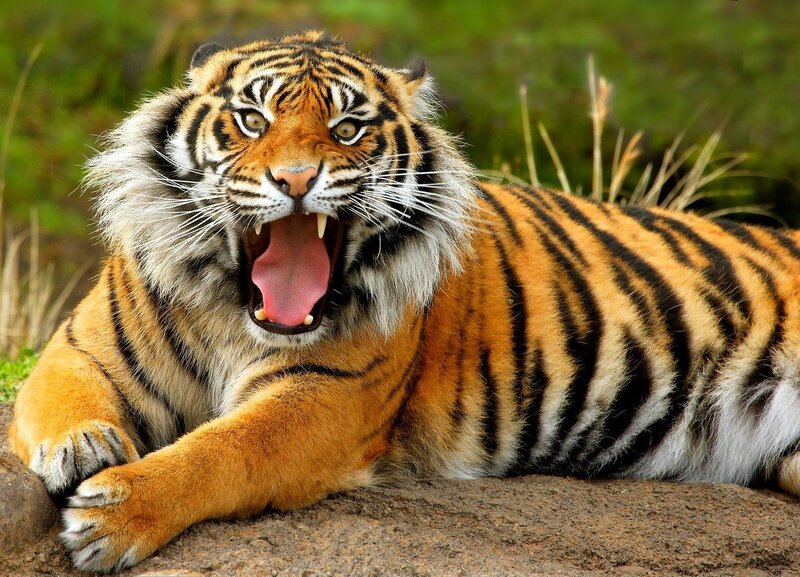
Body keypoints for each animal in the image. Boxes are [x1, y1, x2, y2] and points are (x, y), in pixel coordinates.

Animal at [8, 30, 800, 572]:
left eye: (347, 128)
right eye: (253, 121)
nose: (296, 179)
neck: (233, 310)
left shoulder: (324, 397)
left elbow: (222, 449)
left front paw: (114, 515)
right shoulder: (79, 347)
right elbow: (60, 400)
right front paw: (83, 448)